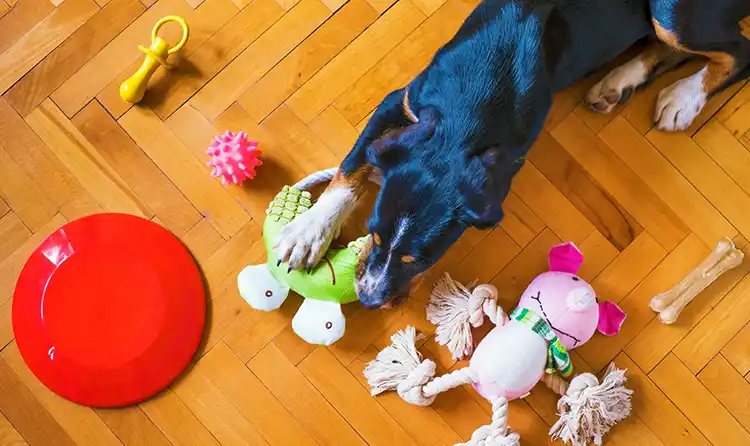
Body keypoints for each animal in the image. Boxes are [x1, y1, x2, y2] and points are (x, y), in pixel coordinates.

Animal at [276, 0, 750, 308]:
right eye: (373, 235)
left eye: (421, 260)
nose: (370, 300)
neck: (479, 95)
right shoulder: (401, 100)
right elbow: (351, 165)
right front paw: (308, 232)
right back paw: (620, 82)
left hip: (670, 11)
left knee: (737, 53)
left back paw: (684, 98)